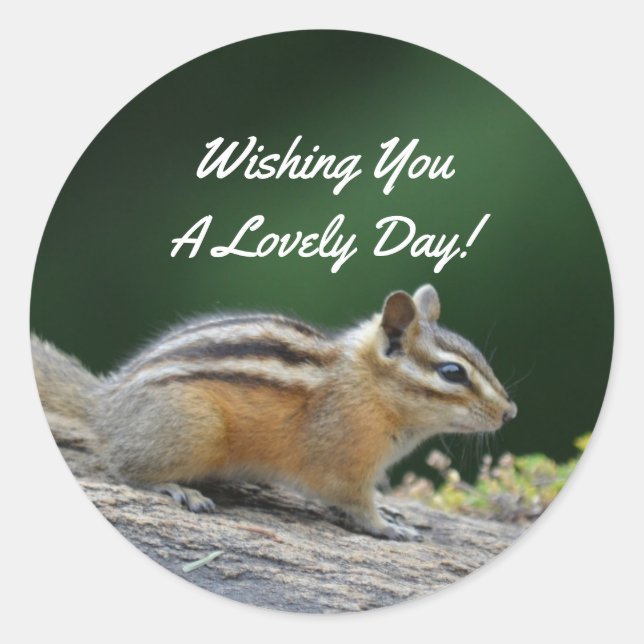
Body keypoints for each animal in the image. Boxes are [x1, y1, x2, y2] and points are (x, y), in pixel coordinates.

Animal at [31, 284, 517, 540]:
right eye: (453, 372)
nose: (510, 412)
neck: (364, 385)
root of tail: (107, 404)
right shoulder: (342, 464)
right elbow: (356, 504)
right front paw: (387, 526)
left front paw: (392, 512)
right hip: (197, 428)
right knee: (122, 466)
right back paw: (178, 488)